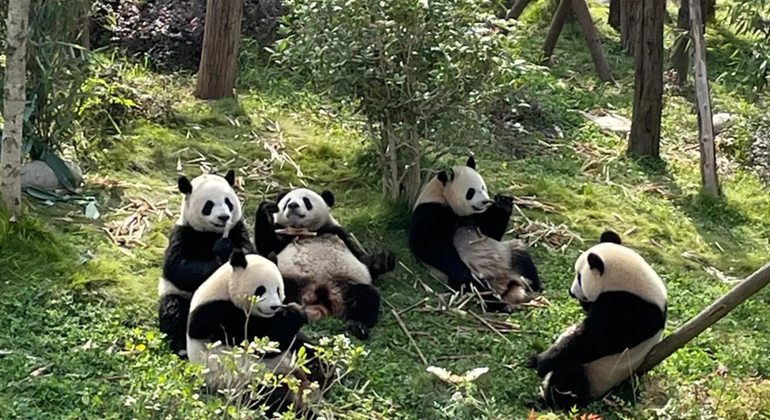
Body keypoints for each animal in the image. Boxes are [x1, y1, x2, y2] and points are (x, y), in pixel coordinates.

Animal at [158, 170, 255, 358]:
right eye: (208, 205)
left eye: (228, 202)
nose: (223, 217)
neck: (211, 233)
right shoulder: (183, 233)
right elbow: (178, 268)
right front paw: (219, 256)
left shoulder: (238, 229)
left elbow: (251, 255)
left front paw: (225, 249)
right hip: (181, 298)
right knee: (174, 310)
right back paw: (182, 348)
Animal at [187, 249, 321, 415]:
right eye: (261, 289)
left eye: (278, 289)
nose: (274, 307)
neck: (225, 287)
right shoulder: (216, 315)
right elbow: (263, 339)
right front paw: (295, 313)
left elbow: (293, 340)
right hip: (245, 380)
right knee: (270, 397)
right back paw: (302, 411)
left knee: (310, 353)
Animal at [254, 187, 396, 340]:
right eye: (287, 201)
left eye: (306, 201)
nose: (292, 205)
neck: (303, 231)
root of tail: (315, 299)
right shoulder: (281, 234)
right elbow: (266, 247)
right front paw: (266, 210)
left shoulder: (337, 232)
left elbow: (364, 261)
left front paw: (384, 259)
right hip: (289, 282)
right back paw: (287, 316)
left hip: (345, 286)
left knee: (366, 296)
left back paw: (358, 326)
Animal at [409, 156, 541, 311]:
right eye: (470, 192)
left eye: (482, 187)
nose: (484, 201)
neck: (442, 196)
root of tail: (505, 282)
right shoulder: (429, 212)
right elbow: (430, 246)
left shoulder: (475, 218)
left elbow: (491, 232)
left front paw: (504, 202)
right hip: (467, 276)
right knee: (473, 286)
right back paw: (500, 304)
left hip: (507, 255)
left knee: (520, 253)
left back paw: (534, 285)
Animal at [528, 230, 667, 409]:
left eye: (579, 277)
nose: (571, 292)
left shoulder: (630, 310)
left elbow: (595, 340)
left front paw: (542, 363)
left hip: (597, 373)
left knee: (568, 378)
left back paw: (548, 401)